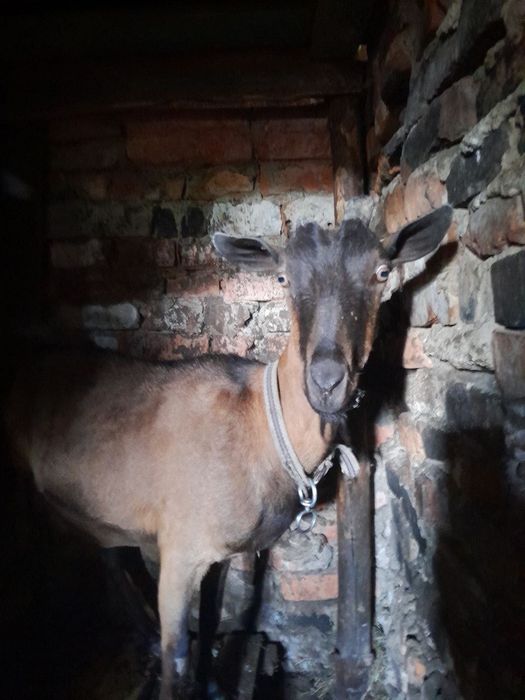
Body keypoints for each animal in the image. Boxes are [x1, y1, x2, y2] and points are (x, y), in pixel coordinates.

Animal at [6, 205, 452, 698]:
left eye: (382, 272)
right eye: (282, 278)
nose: (326, 381)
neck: (262, 426)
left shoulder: (214, 551)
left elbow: (212, 617)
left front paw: (213, 684)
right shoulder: (180, 549)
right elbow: (177, 656)